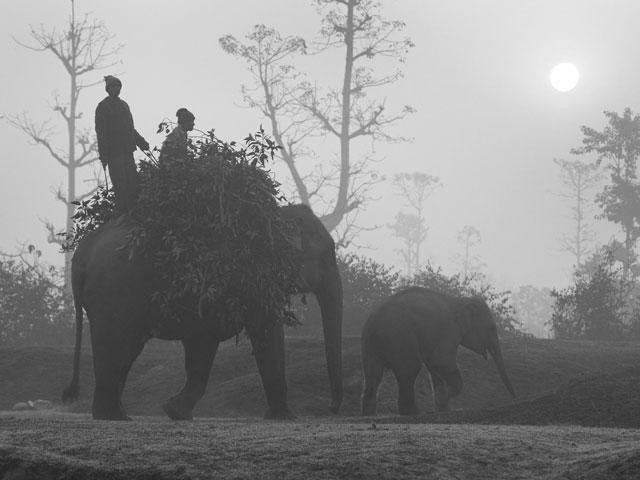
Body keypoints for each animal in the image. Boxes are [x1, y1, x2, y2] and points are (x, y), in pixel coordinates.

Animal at [62, 202, 342, 420]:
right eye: (327, 254)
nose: (331, 408)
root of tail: (82, 251)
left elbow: (202, 346)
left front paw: (175, 411)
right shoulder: (254, 276)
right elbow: (265, 333)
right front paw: (285, 417)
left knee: (121, 353)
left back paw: (116, 415)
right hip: (116, 293)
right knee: (122, 349)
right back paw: (113, 416)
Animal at [360, 284, 516, 416]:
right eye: (492, 328)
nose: (514, 399)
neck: (460, 300)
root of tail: (372, 323)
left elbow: (434, 368)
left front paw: (443, 409)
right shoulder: (449, 330)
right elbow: (441, 362)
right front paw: (447, 398)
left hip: (370, 348)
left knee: (373, 374)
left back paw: (369, 414)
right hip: (400, 338)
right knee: (410, 369)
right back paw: (412, 413)